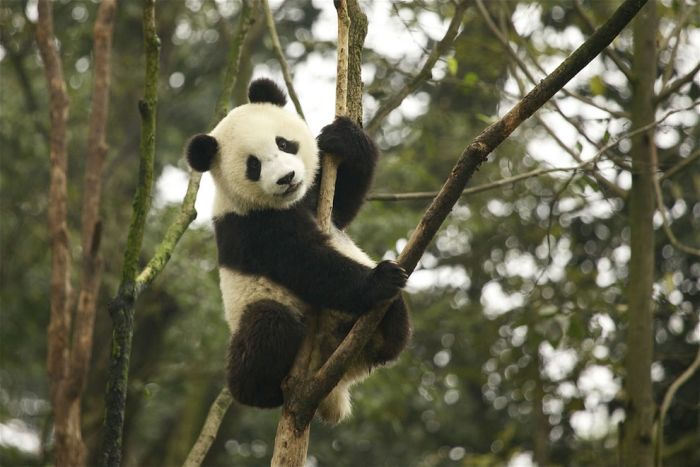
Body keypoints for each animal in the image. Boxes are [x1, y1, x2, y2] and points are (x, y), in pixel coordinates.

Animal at [186, 77, 410, 424]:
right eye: (253, 165)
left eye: (283, 144)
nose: (287, 178)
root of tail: (331, 384)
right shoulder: (251, 228)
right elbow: (306, 264)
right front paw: (379, 279)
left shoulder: (313, 196)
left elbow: (344, 204)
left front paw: (344, 139)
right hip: (256, 313)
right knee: (269, 324)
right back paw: (260, 391)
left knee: (397, 315)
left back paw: (383, 340)